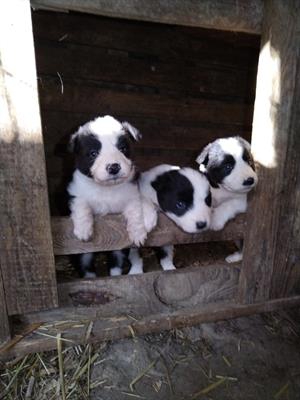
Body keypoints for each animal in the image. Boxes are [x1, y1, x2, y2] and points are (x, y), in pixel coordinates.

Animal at [68, 116, 148, 276]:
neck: (107, 189)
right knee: (86, 266)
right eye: (93, 153)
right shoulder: (75, 192)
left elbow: (136, 212)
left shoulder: (131, 195)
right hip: (84, 254)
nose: (114, 167)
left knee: (116, 261)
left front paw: (138, 234)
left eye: (123, 149)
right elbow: (81, 205)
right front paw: (83, 230)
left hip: (118, 249)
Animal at [197, 136, 258, 264]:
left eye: (249, 161)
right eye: (227, 167)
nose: (249, 180)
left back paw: (235, 257)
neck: (222, 189)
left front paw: (216, 219)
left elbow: (229, 203)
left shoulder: (245, 200)